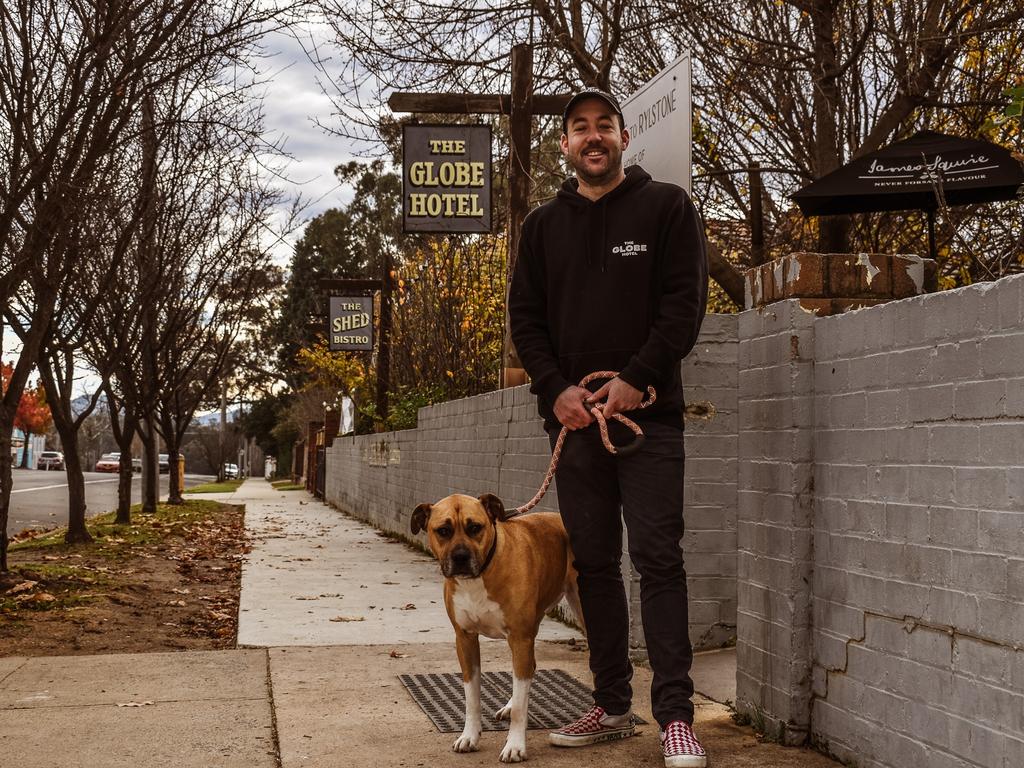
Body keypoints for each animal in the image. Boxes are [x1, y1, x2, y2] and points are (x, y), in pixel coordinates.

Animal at [409, 493, 585, 765]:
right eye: (443, 531)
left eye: (475, 527)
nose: (460, 557)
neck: (480, 576)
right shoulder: (465, 639)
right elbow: (472, 696)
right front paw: (469, 736)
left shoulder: (520, 638)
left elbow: (522, 706)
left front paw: (515, 745)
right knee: (529, 668)